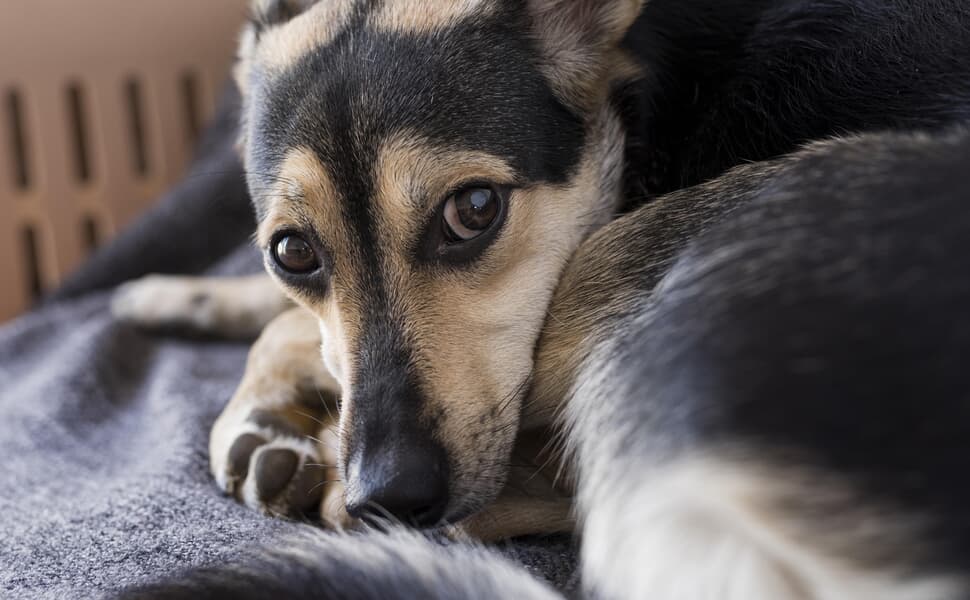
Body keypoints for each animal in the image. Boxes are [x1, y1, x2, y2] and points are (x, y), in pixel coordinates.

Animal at [115, 1, 968, 600]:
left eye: (474, 209)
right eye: (293, 252)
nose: (388, 497)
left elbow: (291, 330)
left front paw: (258, 406)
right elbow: (287, 313)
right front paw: (173, 296)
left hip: (653, 246)